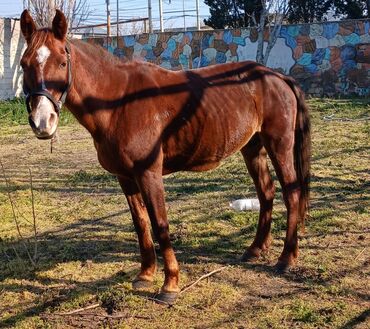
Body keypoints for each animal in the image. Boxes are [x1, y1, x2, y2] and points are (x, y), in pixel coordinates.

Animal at [20, 10, 310, 302]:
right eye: (24, 64)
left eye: (62, 62)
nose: (43, 122)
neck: (118, 103)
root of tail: (276, 77)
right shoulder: (125, 177)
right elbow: (140, 223)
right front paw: (146, 274)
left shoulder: (148, 173)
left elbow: (160, 223)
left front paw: (170, 284)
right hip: (252, 148)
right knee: (266, 192)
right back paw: (255, 249)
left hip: (279, 145)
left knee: (292, 194)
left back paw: (287, 258)